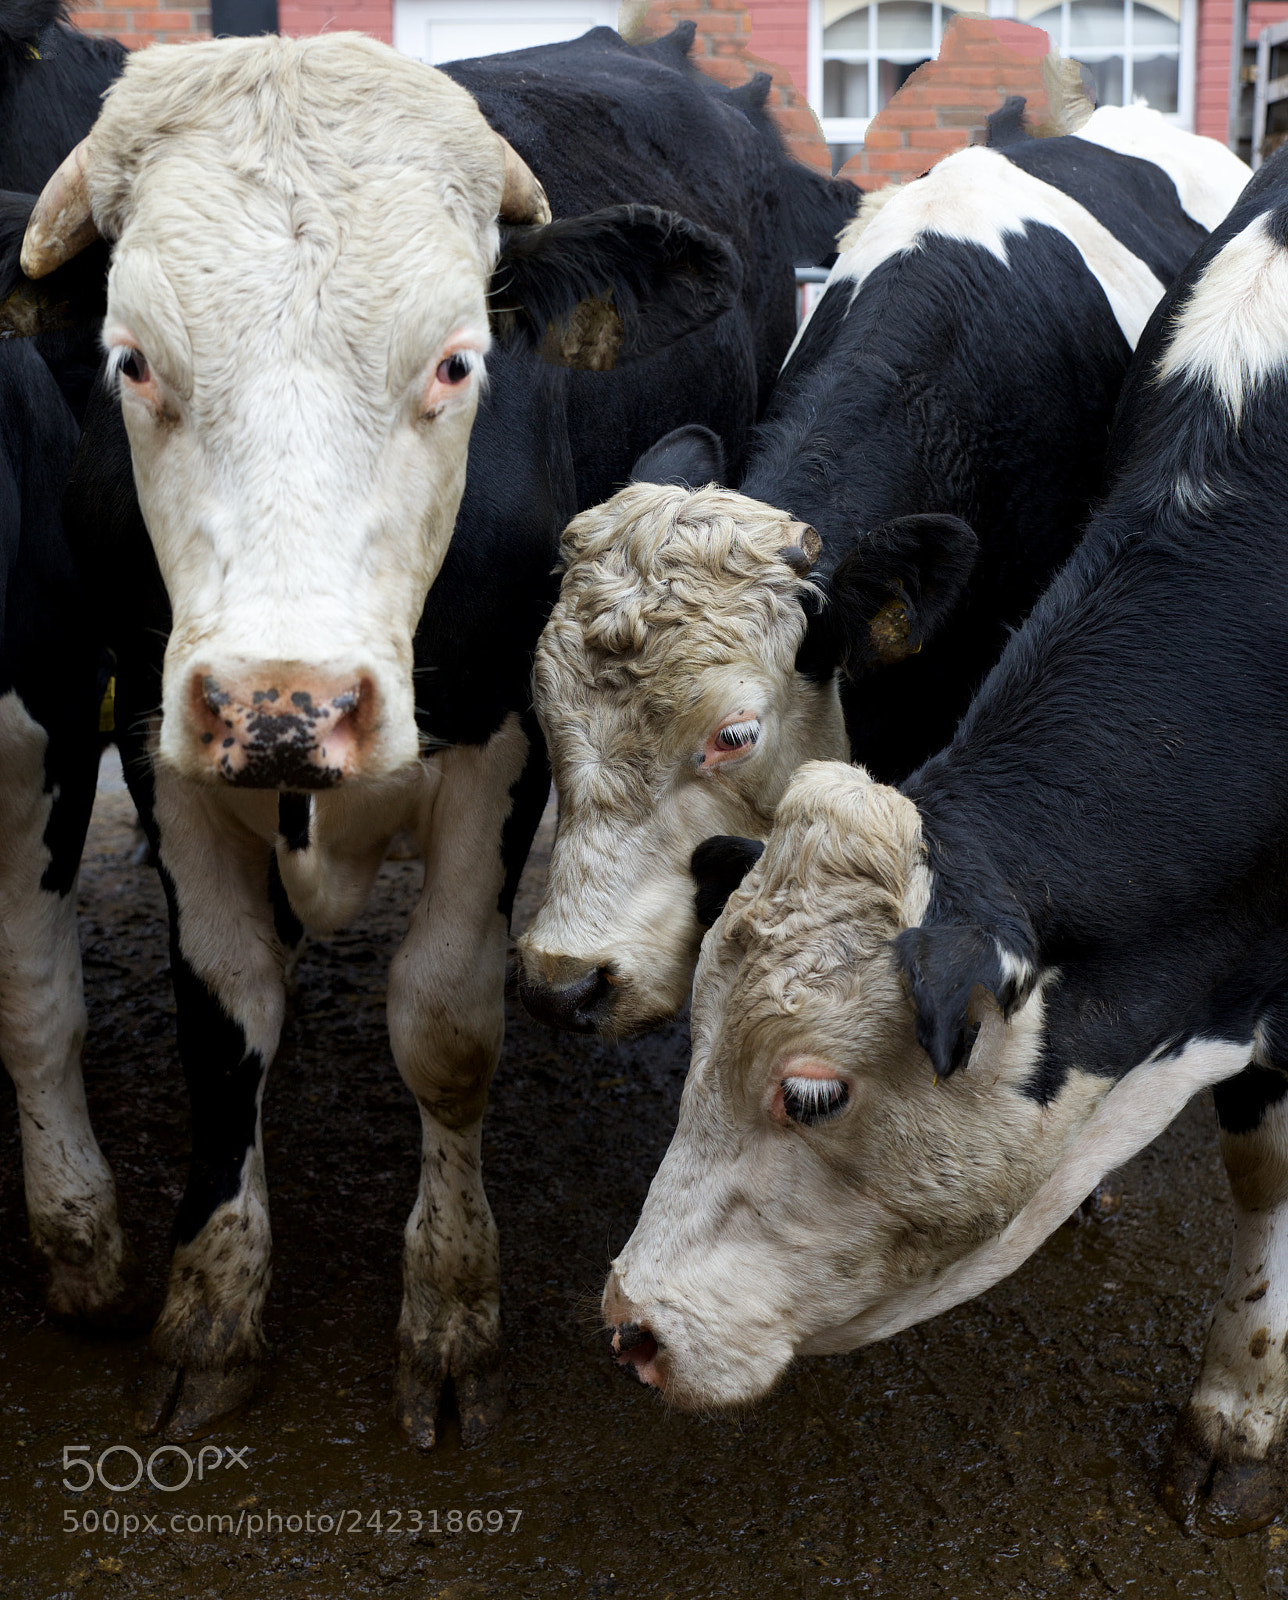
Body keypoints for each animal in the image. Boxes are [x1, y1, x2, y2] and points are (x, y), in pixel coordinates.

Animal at [4, 25, 857, 1446]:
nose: (284, 700)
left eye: (457, 362)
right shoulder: (153, 741)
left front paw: (452, 1310)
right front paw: (212, 1303)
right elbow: (222, 1012)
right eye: (132, 359)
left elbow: (446, 1023)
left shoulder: (501, 747)